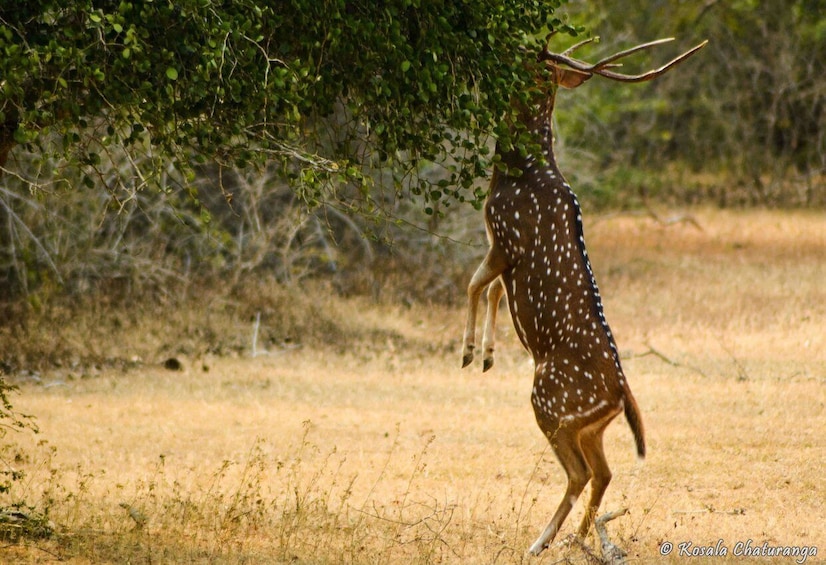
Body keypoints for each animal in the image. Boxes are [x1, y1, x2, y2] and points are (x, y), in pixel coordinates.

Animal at [460, 35, 704, 556]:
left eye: (532, 60)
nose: (506, 50)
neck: (514, 174)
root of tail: (620, 396)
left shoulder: (505, 239)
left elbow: (475, 284)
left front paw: (469, 353)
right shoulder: (500, 250)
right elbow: (489, 292)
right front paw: (486, 354)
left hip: (550, 403)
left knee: (579, 473)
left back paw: (541, 543)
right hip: (590, 424)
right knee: (604, 471)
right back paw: (576, 540)